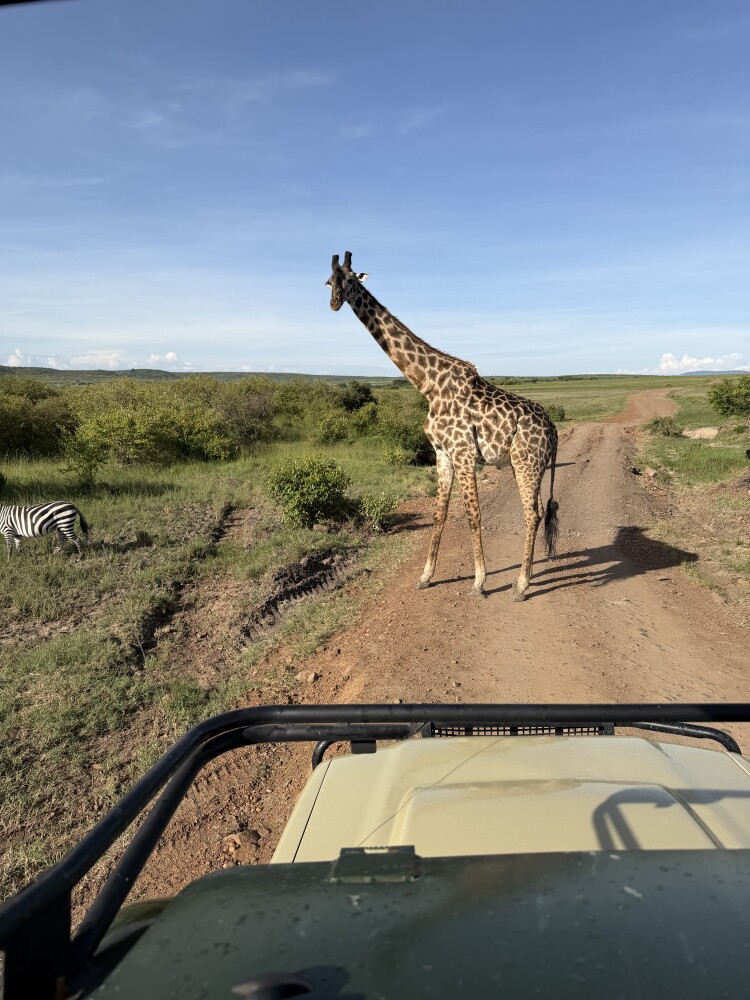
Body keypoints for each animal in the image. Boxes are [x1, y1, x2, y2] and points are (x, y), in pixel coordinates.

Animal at [326, 251, 559, 601]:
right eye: (329, 281)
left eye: (352, 280)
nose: (335, 302)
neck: (428, 385)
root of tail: (554, 429)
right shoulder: (442, 454)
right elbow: (440, 514)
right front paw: (426, 576)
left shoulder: (463, 452)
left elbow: (473, 515)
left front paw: (479, 582)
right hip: (531, 466)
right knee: (538, 512)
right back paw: (523, 578)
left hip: (525, 462)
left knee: (532, 514)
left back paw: (521, 585)